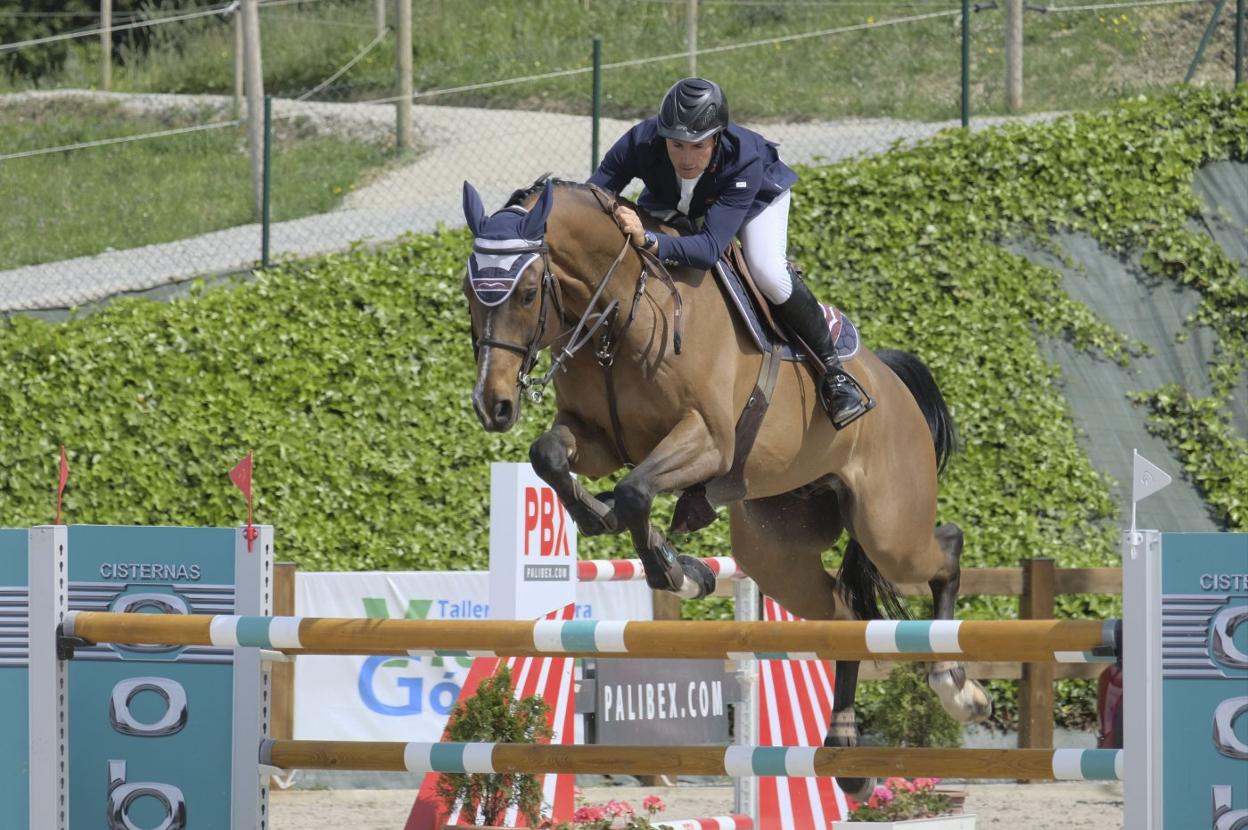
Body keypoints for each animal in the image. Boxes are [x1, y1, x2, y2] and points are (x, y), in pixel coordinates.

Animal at [461, 175, 993, 798]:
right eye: (469, 293)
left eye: (525, 293)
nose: (493, 405)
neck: (621, 313)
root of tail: (889, 379)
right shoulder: (595, 440)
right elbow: (550, 458)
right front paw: (614, 523)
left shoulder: (708, 439)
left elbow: (637, 492)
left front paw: (673, 568)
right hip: (777, 551)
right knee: (845, 616)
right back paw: (845, 750)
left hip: (888, 527)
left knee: (945, 548)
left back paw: (956, 686)